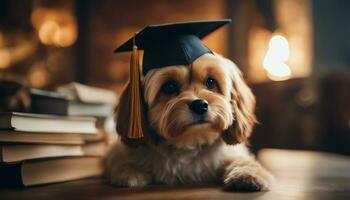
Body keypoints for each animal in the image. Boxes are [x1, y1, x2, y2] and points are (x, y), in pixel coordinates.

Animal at [105, 53, 274, 192]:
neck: (189, 143)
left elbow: (243, 161)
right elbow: (123, 163)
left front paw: (248, 173)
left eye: (211, 82)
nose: (200, 105)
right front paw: (130, 172)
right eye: (169, 86)